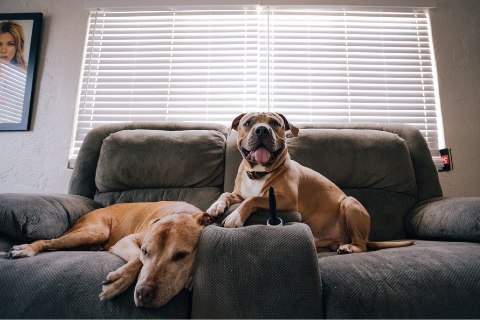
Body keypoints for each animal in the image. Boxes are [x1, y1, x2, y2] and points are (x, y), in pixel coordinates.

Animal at [7, 201, 213, 308]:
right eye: (146, 252)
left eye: (181, 256)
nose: (143, 293)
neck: (182, 212)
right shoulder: (127, 241)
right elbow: (136, 260)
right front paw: (120, 281)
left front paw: (191, 278)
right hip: (96, 231)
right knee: (50, 241)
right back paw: (28, 248)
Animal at [208, 111, 414, 254]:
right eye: (248, 122)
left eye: (275, 123)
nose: (261, 129)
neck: (259, 172)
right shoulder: (239, 194)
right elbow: (227, 194)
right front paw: (215, 206)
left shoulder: (287, 200)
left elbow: (254, 200)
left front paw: (236, 216)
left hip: (350, 204)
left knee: (361, 245)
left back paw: (350, 247)